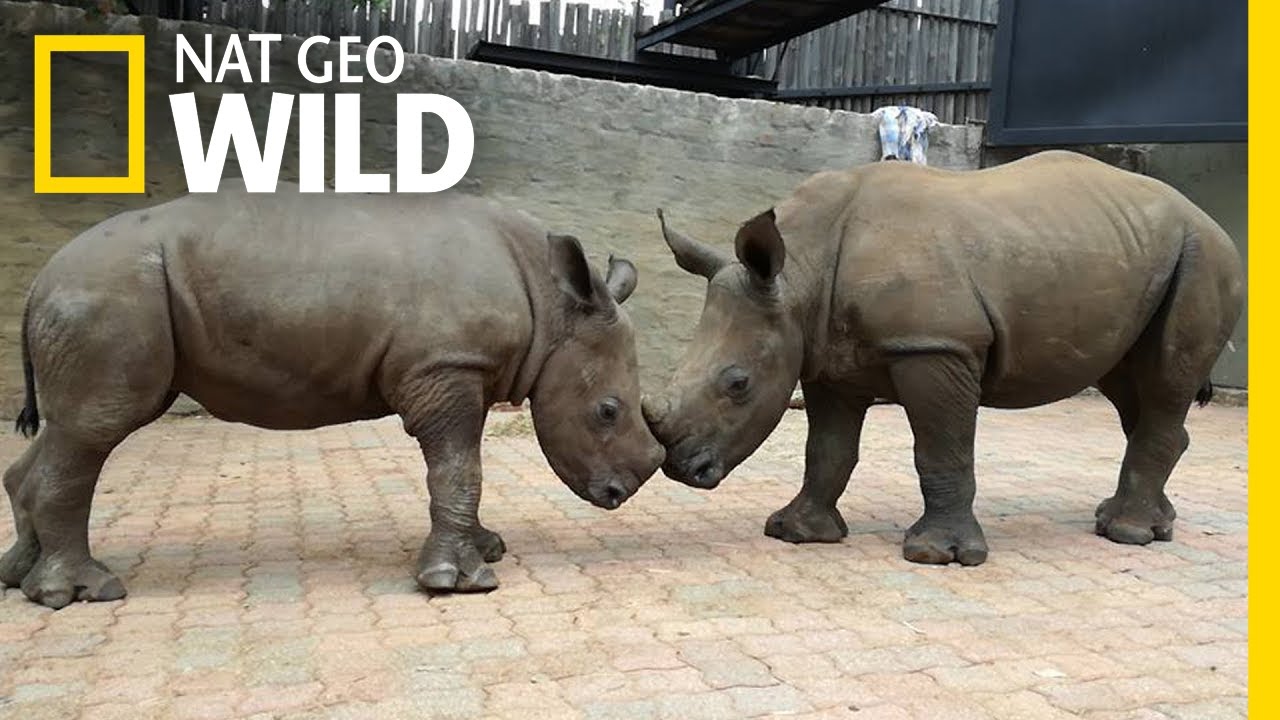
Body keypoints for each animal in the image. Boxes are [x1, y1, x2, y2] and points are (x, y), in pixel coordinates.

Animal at [1, 182, 665, 609]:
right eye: (607, 411)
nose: (622, 492)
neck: (553, 309)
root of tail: (38, 281)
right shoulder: (444, 368)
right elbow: (458, 468)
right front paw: (460, 582)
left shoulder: (460, 369)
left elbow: (464, 466)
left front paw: (487, 549)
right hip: (106, 295)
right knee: (94, 430)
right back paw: (83, 592)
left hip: (98, 294)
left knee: (70, 432)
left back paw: (22, 579)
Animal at [644, 150, 1245, 566]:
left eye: (738, 384)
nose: (681, 469)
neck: (800, 276)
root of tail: (1208, 217)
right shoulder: (824, 358)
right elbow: (827, 450)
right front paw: (797, 533)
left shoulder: (934, 346)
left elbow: (941, 449)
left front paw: (939, 556)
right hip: (1129, 252)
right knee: (1130, 387)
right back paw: (1151, 524)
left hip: (1207, 258)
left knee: (1165, 379)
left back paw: (1127, 534)